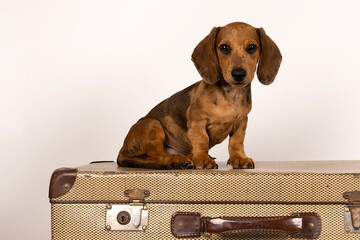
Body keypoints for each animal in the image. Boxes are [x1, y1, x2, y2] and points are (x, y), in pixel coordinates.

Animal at [117, 21, 282, 170]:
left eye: (252, 47)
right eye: (224, 47)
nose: (239, 74)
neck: (230, 95)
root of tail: (121, 153)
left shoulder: (241, 122)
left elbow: (237, 141)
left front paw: (239, 158)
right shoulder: (197, 120)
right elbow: (202, 139)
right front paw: (203, 159)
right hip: (152, 125)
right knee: (157, 156)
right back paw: (179, 160)